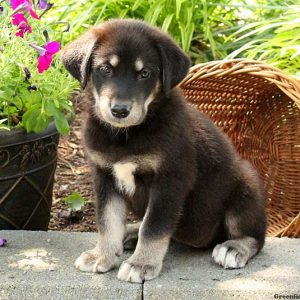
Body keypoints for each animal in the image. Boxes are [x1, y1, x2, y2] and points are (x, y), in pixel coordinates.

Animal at [61, 19, 268, 284]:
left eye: (145, 73)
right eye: (105, 69)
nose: (119, 110)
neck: (127, 135)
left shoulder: (170, 180)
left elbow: (154, 226)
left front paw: (141, 264)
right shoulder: (104, 175)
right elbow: (108, 221)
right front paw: (102, 255)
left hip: (246, 183)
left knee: (255, 236)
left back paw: (234, 248)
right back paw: (130, 233)